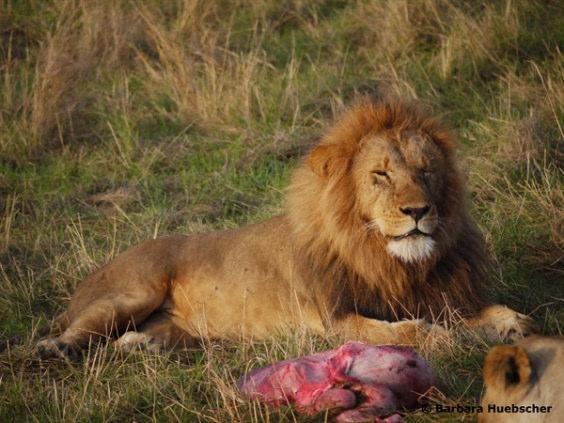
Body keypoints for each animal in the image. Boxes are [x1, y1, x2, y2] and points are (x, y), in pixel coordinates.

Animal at [36, 101, 532, 360]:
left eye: (426, 169)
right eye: (381, 174)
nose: (417, 210)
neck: (388, 261)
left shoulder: (434, 296)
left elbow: (487, 313)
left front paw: (511, 324)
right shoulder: (334, 321)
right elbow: (404, 333)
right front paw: (439, 338)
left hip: (177, 328)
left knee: (134, 337)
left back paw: (142, 346)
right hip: (133, 291)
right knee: (73, 329)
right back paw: (54, 349)